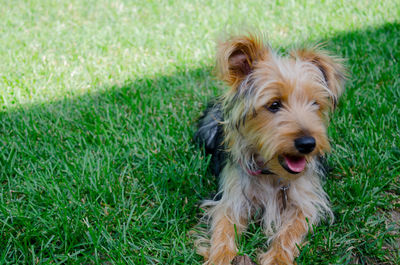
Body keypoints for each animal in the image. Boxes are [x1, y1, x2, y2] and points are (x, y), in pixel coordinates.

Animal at [193, 33, 344, 264]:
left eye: (315, 104)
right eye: (274, 105)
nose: (308, 144)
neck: (271, 172)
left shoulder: (305, 201)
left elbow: (290, 230)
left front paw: (277, 257)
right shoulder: (232, 198)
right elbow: (223, 227)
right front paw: (220, 256)